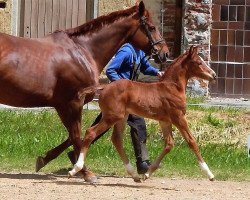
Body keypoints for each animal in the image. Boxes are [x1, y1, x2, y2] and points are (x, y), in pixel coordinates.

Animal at [70, 46, 217, 182]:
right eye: (199, 62)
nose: (214, 75)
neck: (172, 87)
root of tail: (105, 86)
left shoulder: (165, 120)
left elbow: (169, 144)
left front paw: (147, 174)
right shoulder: (179, 117)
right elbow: (192, 141)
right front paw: (209, 174)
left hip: (121, 118)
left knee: (116, 139)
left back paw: (134, 175)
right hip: (112, 116)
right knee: (91, 132)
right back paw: (76, 168)